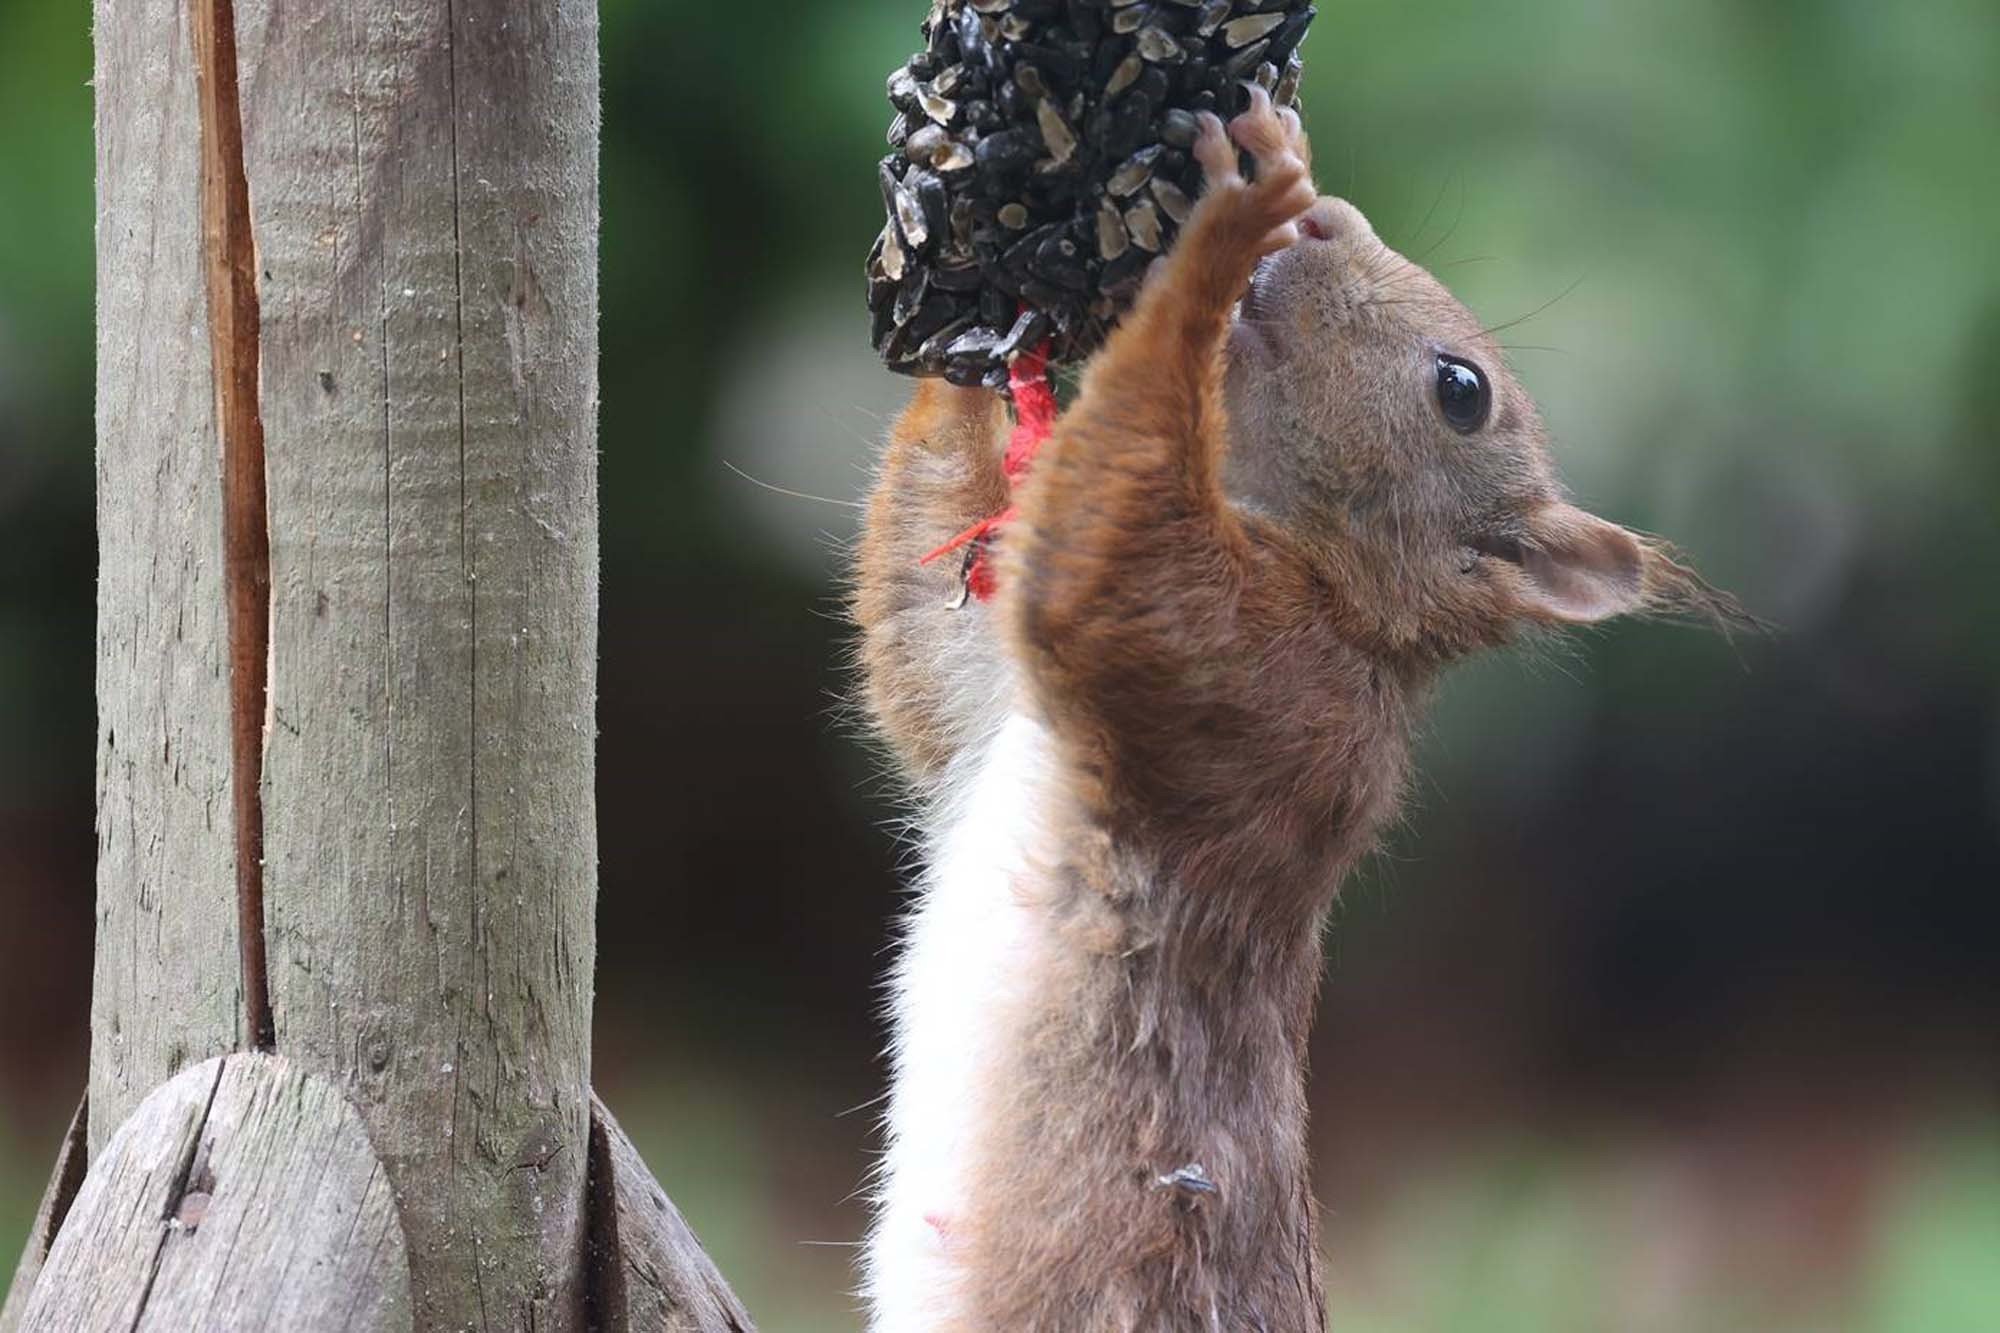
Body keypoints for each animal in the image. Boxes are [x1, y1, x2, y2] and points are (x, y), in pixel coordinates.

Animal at [853, 87, 1739, 1333]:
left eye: (1460, 392)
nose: (1324, 220)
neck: (1338, 596)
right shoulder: (992, 700)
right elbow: (917, 636)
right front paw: (977, 303)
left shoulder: (1256, 693)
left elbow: (1100, 572)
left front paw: (1225, 224)